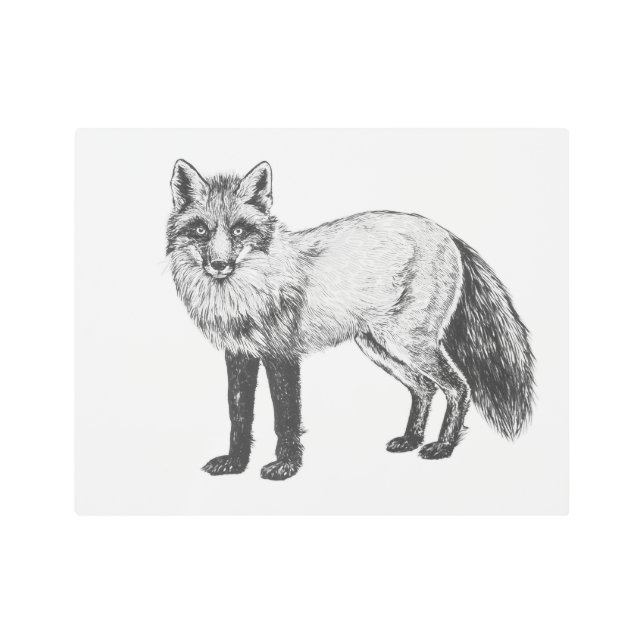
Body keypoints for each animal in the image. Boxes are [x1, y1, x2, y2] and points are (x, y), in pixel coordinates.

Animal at [167, 159, 535, 481]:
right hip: (378, 346)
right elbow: (239, 417)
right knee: (425, 387)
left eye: (240, 230)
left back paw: (442, 446)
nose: (218, 265)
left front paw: (285, 467)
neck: (244, 295)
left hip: (411, 344)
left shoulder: (282, 355)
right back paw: (410, 440)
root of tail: (447, 233)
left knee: (458, 387)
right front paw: (235, 464)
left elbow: (286, 419)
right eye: (200, 230)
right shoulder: (239, 355)